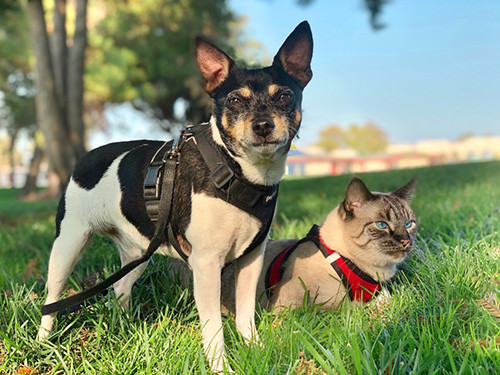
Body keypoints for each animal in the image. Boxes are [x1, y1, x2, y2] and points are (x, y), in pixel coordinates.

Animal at [37, 22, 312, 374]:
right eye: (235, 100)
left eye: (285, 96)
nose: (263, 125)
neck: (236, 170)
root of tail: (86, 157)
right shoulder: (206, 265)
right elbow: (214, 328)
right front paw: (221, 366)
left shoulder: (251, 260)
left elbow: (245, 316)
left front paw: (257, 350)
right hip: (68, 244)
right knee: (52, 299)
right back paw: (44, 342)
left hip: (139, 251)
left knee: (120, 289)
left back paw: (123, 329)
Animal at [166, 178, 416, 312]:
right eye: (382, 225)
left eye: (410, 223)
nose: (406, 240)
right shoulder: (293, 309)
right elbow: (346, 308)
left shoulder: (381, 297)